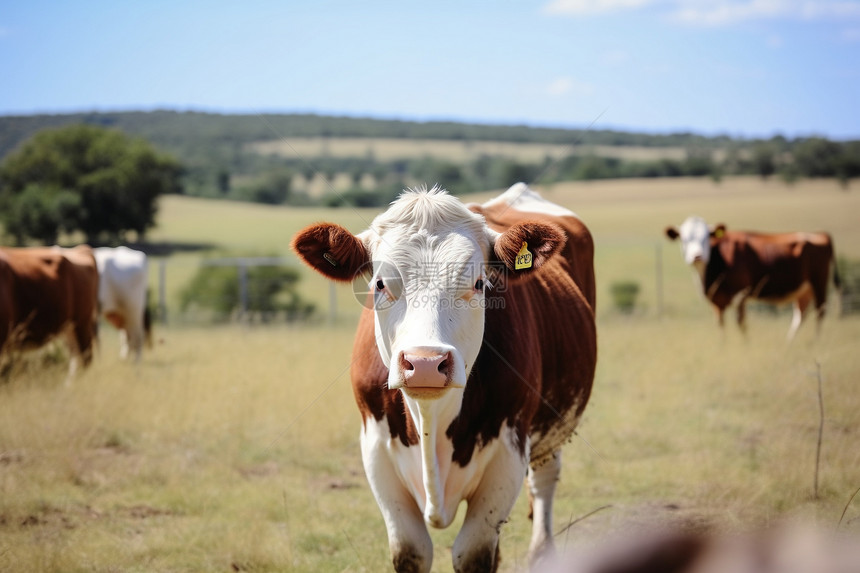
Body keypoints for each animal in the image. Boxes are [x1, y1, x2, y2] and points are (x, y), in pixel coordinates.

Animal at [292, 183, 596, 572]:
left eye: (480, 283)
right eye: (380, 284)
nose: (425, 362)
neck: (431, 421)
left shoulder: (508, 452)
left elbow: (474, 552)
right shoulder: (375, 449)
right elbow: (412, 550)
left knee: (544, 480)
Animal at [664, 217, 840, 338]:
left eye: (706, 237)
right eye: (684, 239)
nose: (697, 256)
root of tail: (821, 235)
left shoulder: (741, 295)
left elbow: (741, 324)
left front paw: (744, 347)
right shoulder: (717, 301)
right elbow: (721, 326)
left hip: (819, 282)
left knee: (820, 312)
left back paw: (814, 343)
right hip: (803, 290)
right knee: (801, 315)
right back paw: (789, 344)